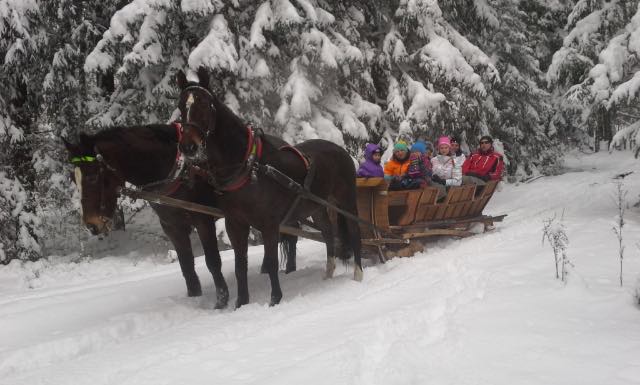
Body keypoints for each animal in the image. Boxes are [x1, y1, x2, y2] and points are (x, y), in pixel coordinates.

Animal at [62, 124, 298, 308]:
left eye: (92, 176)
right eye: (74, 179)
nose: (92, 224)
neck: (173, 168)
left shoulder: (202, 220)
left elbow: (212, 261)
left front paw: (221, 299)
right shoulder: (171, 226)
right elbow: (186, 264)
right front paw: (194, 296)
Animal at [175, 70, 362, 308]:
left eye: (205, 104)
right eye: (181, 106)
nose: (188, 147)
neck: (249, 167)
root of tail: (341, 149)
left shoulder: (269, 224)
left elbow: (272, 262)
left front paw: (275, 299)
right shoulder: (235, 224)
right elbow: (240, 266)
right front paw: (241, 302)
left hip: (346, 201)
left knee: (355, 231)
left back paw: (358, 274)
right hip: (317, 207)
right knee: (329, 234)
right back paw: (328, 273)